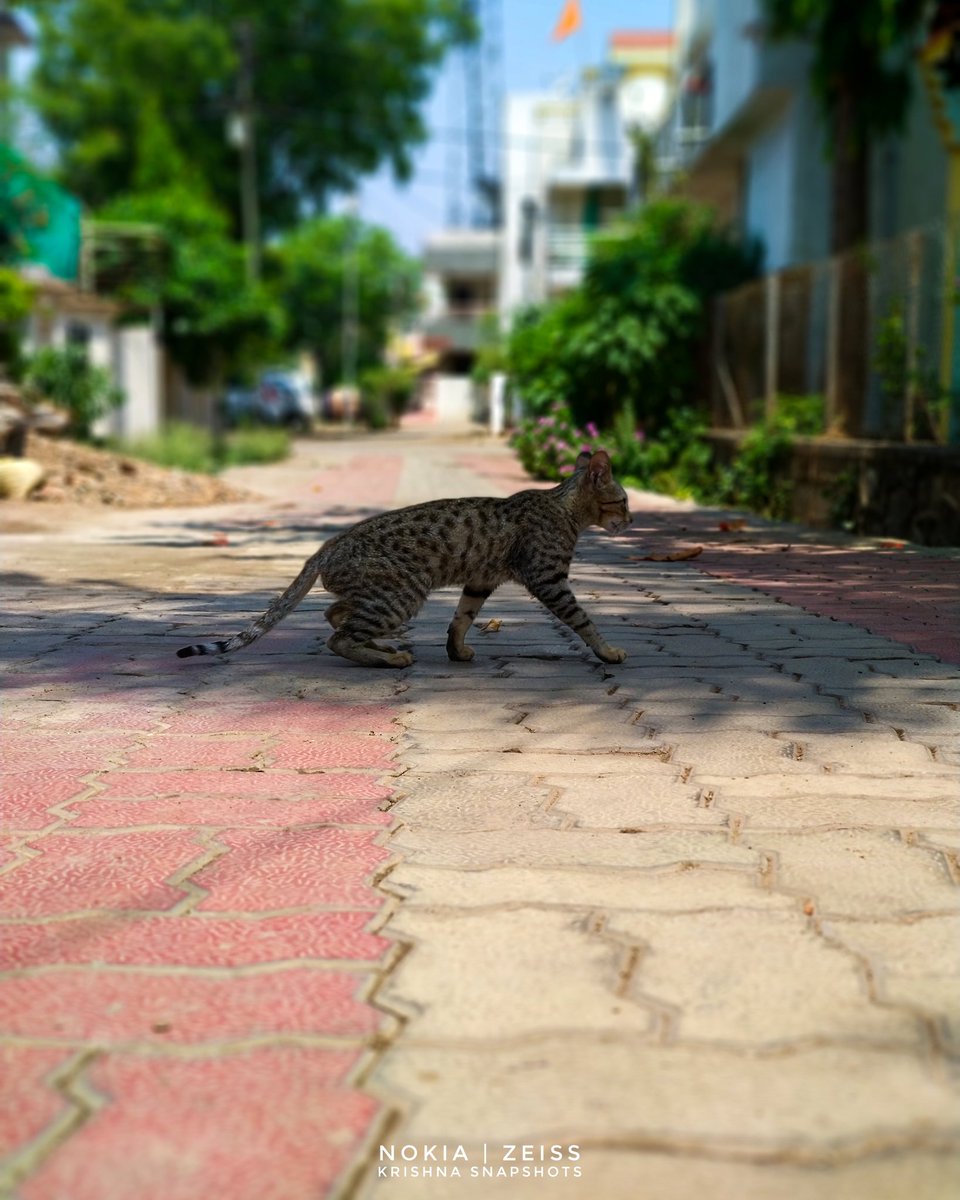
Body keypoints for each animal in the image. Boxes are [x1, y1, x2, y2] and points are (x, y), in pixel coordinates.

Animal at [177, 448, 633, 672]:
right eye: (624, 500)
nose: (631, 519)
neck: (563, 508)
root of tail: (326, 545)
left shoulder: (481, 580)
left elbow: (462, 619)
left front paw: (456, 651)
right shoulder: (548, 578)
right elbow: (583, 620)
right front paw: (608, 651)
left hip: (384, 594)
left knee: (336, 615)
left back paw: (380, 645)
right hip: (402, 595)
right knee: (339, 635)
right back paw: (388, 658)